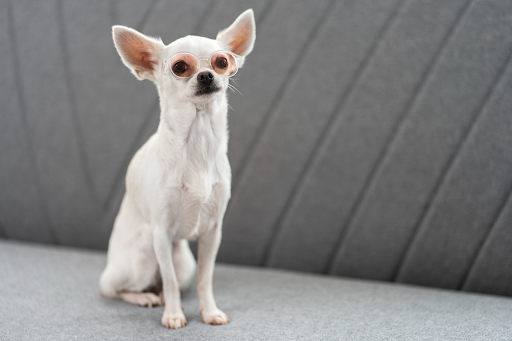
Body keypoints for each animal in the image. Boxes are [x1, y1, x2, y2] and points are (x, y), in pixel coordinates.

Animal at [98, 9, 256, 328]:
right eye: (180, 67)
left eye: (222, 62)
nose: (206, 74)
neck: (197, 140)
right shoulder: (162, 233)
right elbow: (169, 281)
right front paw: (172, 314)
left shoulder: (212, 234)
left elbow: (205, 279)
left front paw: (209, 311)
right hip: (143, 257)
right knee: (118, 289)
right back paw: (146, 297)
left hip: (185, 264)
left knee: (169, 281)